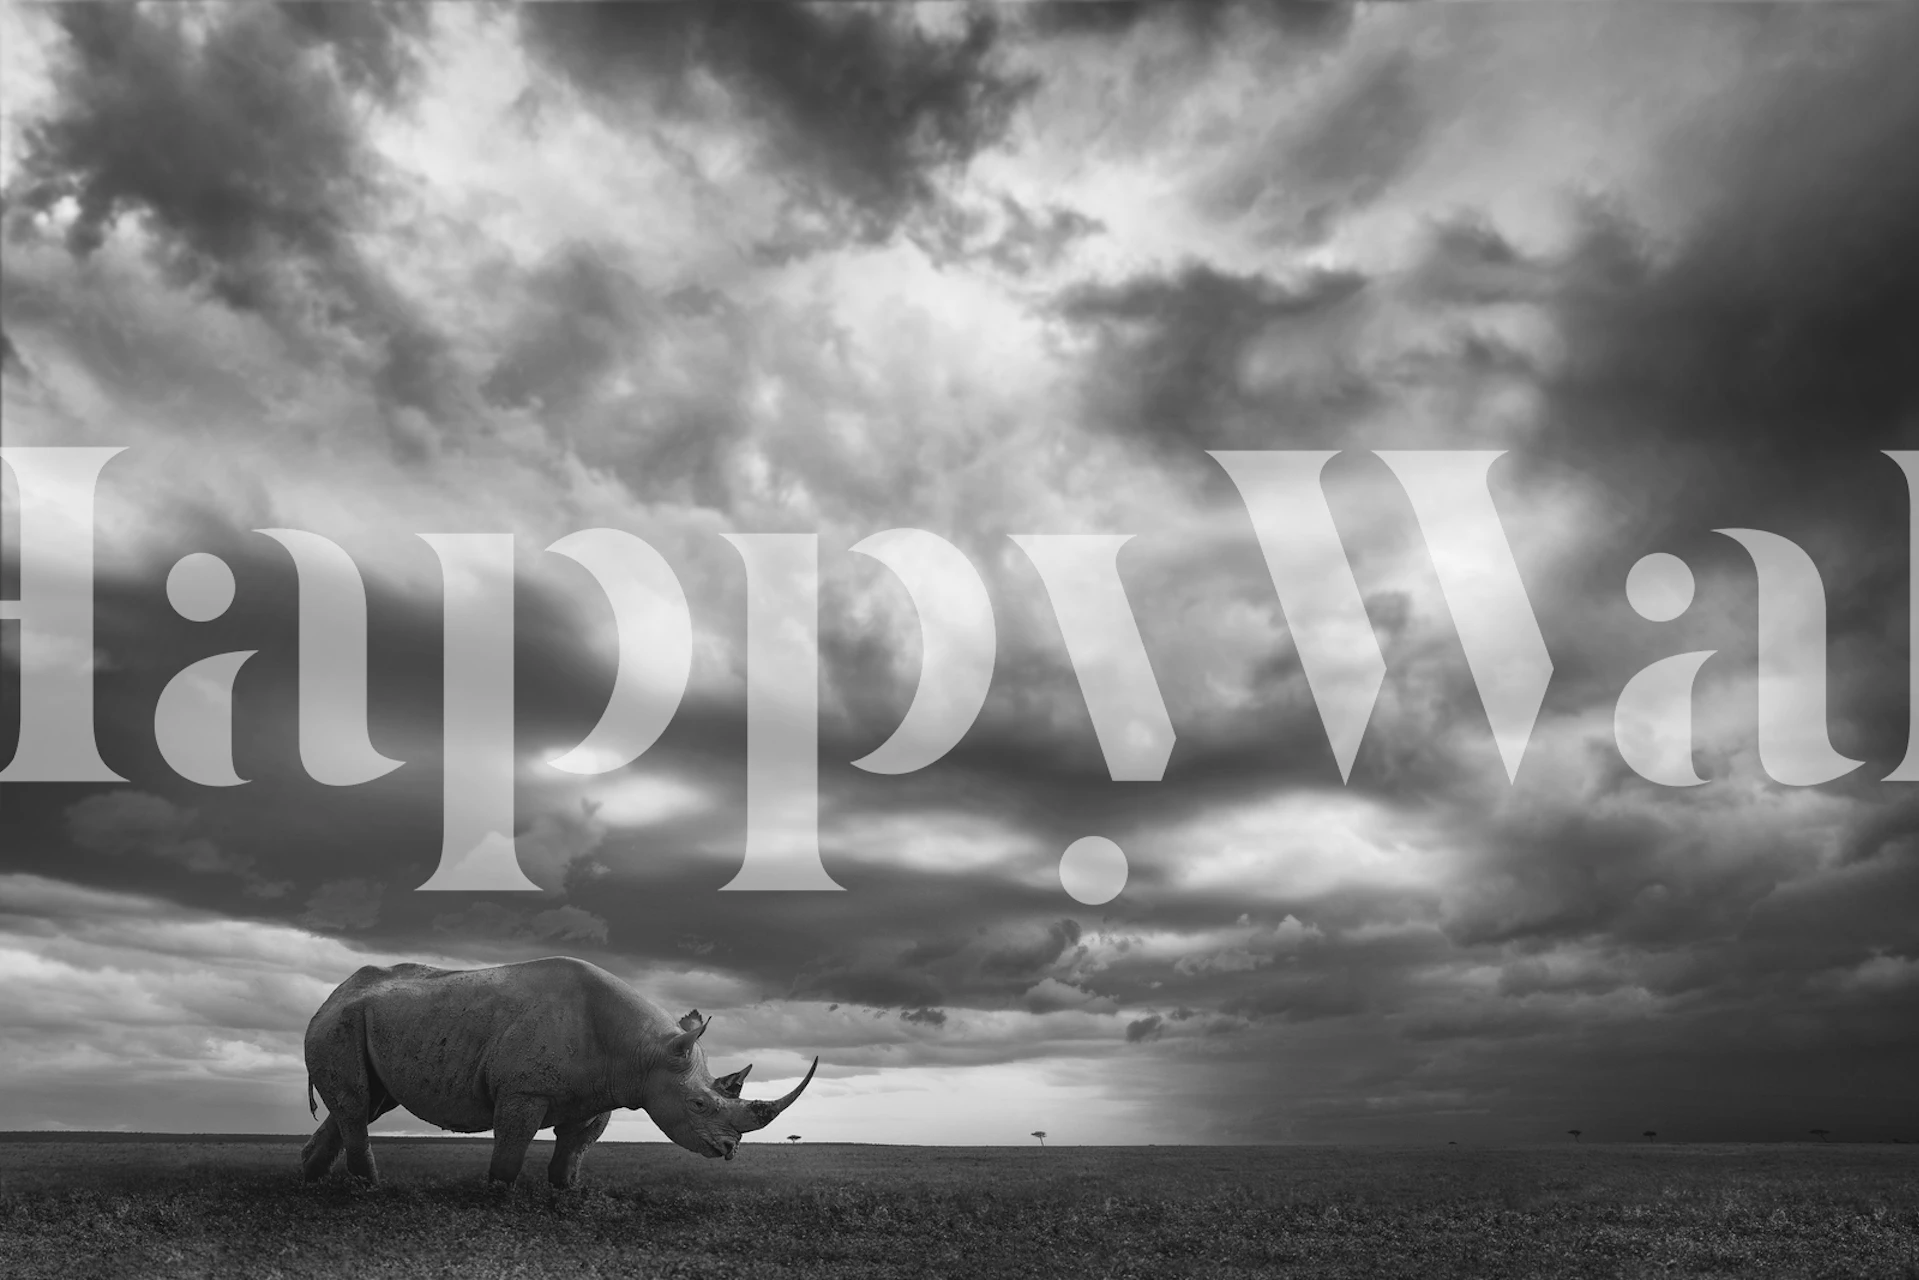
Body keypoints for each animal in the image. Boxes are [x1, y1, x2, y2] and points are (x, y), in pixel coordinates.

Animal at [300, 956, 818, 1187]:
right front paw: (498, 1195)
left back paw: (315, 1180)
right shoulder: (523, 1089)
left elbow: (576, 1146)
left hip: (368, 1021)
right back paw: (370, 1188)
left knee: (369, 1102)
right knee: (358, 1104)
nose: (730, 1150)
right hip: (338, 1024)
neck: (645, 1052)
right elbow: (513, 1143)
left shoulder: (601, 1092)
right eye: (698, 1103)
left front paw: (564, 1193)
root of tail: (333, 994)